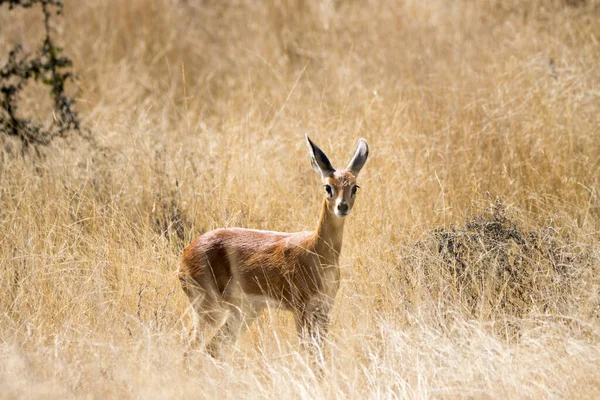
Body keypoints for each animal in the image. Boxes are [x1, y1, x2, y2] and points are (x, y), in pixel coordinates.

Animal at [176, 134, 368, 362]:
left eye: (354, 187)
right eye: (328, 187)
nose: (342, 206)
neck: (316, 251)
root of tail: (186, 254)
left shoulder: (324, 308)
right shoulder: (301, 309)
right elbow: (308, 350)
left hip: (241, 312)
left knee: (213, 347)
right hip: (209, 309)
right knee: (189, 345)